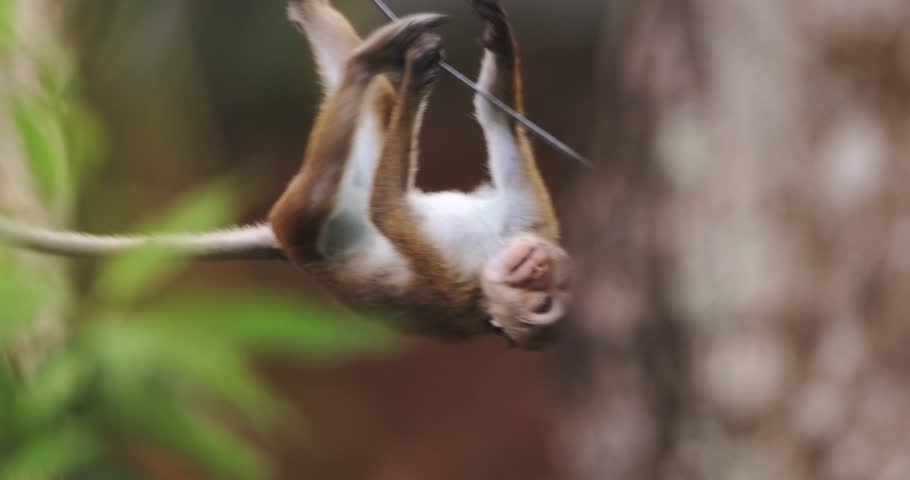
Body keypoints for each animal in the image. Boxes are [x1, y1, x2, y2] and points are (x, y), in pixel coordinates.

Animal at [0, 0, 573, 349]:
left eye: (544, 306)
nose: (537, 267)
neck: (487, 262)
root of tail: (283, 245)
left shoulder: (457, 282)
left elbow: (389, 211)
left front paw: (417, 83)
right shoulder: (534, 223)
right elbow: (496, 115)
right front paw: (498, 37)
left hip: (302, 221)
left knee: (323, 192)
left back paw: (369, 64)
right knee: (374, 104)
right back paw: (334, 28)